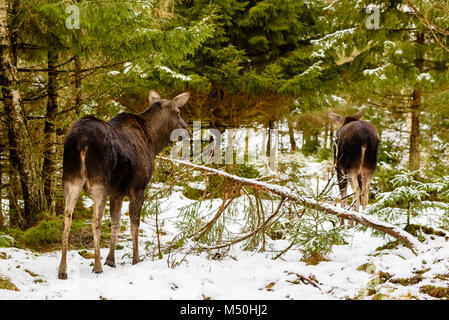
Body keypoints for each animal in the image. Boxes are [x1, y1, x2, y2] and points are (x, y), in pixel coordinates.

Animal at [57, 90, 190, 280]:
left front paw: (111, 260)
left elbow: (116, 223)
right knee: (95, 220)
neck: (153, 142)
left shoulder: (116, 192)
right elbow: (134, 224)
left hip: (70, 179)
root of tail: (81, 142)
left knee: (66, 219)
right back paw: (97, 266)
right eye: (178, 112)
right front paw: (135, 259)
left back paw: (62, 269)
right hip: (99, 183)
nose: (187, 130)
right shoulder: (138, 188)